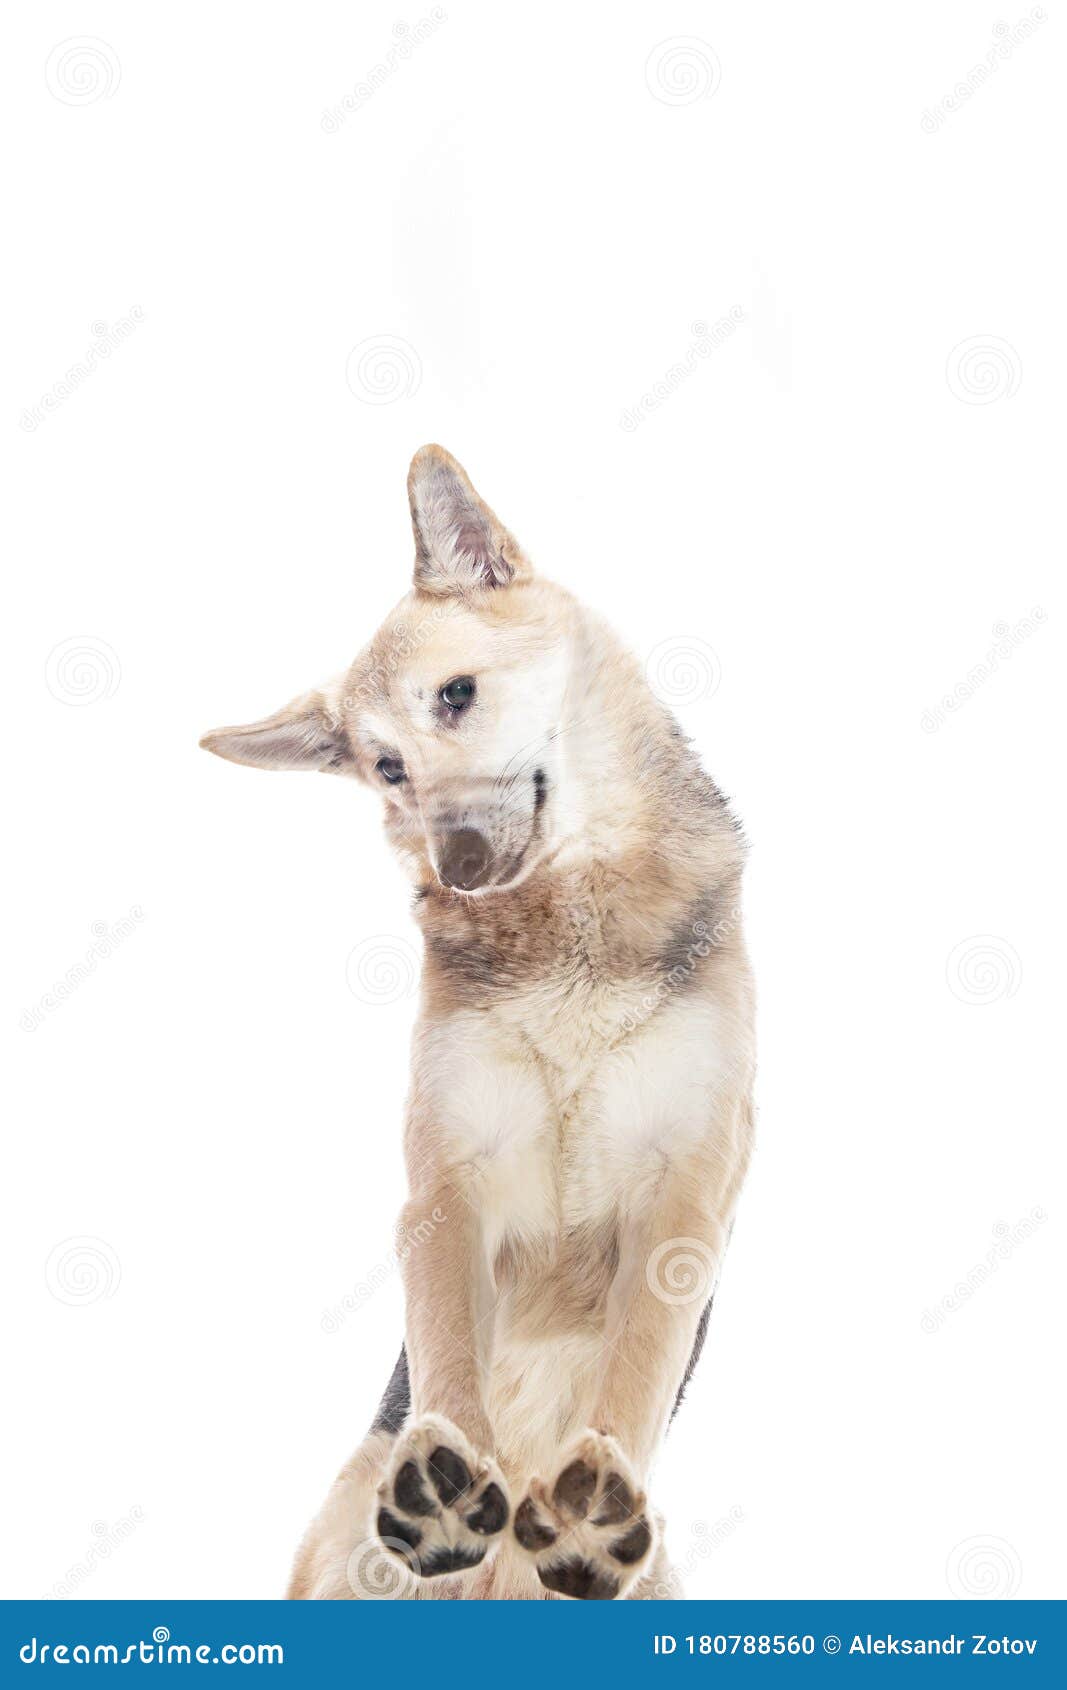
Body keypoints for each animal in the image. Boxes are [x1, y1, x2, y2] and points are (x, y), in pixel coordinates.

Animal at [198, 439, 750, 1595]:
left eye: (456, 695)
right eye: (386, 769)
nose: (456, 862)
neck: (569, 926)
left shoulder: (685, 1201)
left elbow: (637, 1361)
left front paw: (590, 1500)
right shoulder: (446, 1184)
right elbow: (447, 1338)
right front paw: (447, 1468)